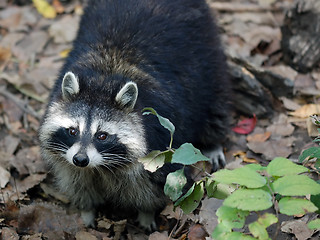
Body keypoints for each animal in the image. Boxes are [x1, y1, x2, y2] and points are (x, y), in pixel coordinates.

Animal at [38, 0, 230, 230]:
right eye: (72, 131)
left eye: (102, 135)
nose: (81, 159)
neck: (104, 78)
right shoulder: (70, 160)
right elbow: (78, 181)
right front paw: (87, 210)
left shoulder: (159, 143)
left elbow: (157, 184)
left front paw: (147, 213)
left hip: (208, 55)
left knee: (215, 102)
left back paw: (213, 141)